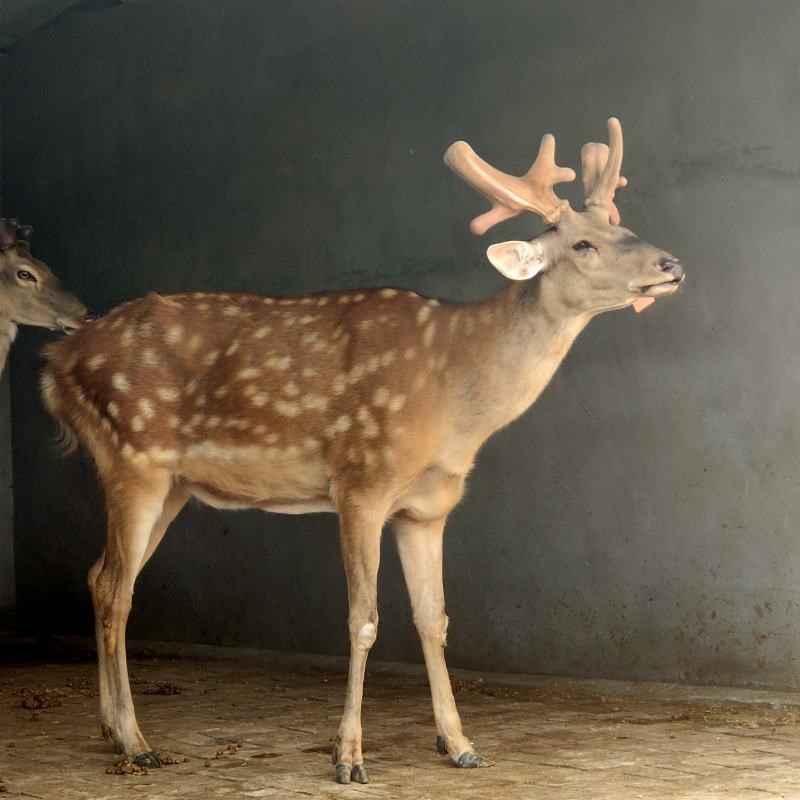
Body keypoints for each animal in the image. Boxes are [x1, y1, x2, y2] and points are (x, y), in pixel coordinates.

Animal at [40, 118, 684, 784]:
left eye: (623, 225)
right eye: (582, 244)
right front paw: (348, 756)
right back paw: (135, 740)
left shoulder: (427, 508)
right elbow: (364, 619)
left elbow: (434, 619)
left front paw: (460, 743)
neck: (453, 402)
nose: (673, 263)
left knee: (98, 576)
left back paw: (111, 732)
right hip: (131, 454)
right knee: (117, 588)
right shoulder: (361, 481)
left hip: (172, 485)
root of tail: (55, 364)